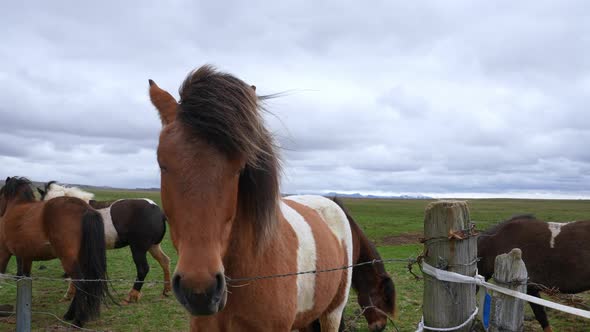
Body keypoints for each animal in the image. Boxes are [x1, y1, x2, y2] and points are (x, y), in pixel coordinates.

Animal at [0, 176, 111, 326]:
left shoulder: (4, 253)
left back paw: (78, 320)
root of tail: (85, 208)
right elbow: (25, 277)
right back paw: (70, 315)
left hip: (69, 260)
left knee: (80, 283)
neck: (15, 206)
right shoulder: (26, 257)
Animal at [38, 182, 172, 304]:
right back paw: (167, 290)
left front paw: (70, 294)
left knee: (143, 269)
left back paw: (131, 296)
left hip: (138, 248)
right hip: (153, 246)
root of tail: (159, 212)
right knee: (165, 261)